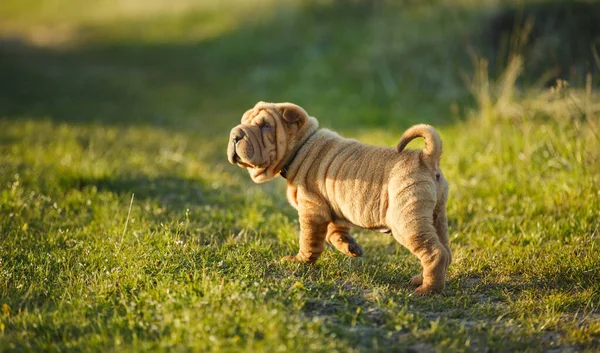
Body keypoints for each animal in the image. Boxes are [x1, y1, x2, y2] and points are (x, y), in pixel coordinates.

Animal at [226, 101, 450, 292]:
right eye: (243, 121)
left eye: (265, 126)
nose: (235, 135)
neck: (302, 145)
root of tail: (425, 158)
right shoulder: (334, 207)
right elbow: (334, 233)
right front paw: (350, 247)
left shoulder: (311, 209)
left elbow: (309, 240)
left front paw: (300, 261)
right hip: (437, 217)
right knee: (445, 251)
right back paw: (422, 279)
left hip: (406, 221)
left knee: (434, 253)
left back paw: (428, 289)